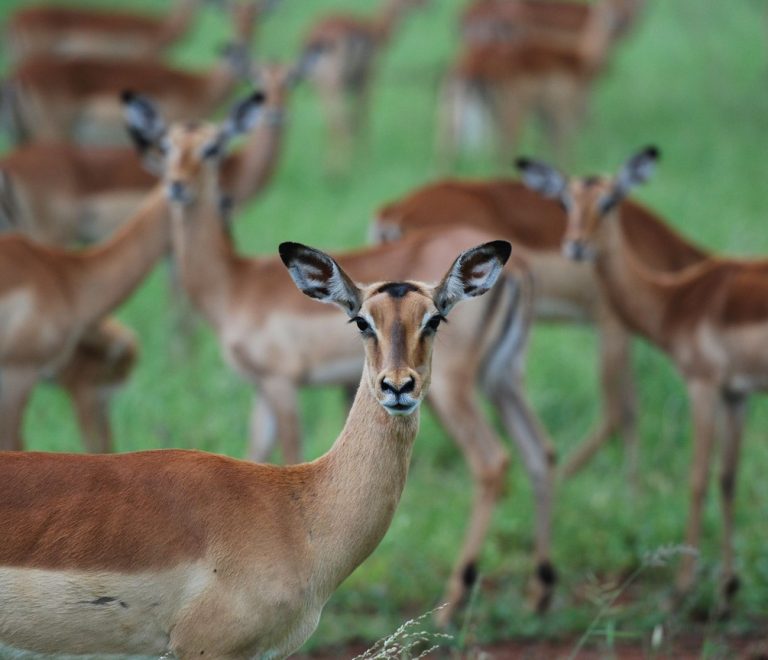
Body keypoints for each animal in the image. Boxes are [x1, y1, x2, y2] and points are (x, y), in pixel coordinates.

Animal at [124, 90, 558, 622]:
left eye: (212, 148)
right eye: (166, 147)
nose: (178, 187)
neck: (236, 283)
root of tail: (519, 271)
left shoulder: (282, 384)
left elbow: (289, 455)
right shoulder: (261, 392)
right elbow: (255, 453)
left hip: (455, 390)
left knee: (492, 461)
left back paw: (454, 601)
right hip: (503, 379)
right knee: (540, 452)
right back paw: (540, 591)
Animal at [301, 0, 425, 171]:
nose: (427, 5)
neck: (376, 29)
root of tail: (317, 38)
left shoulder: (352, 87)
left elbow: (354, 118)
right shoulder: (367, 80)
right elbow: (362, 116)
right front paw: (367, 161)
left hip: (321, 86)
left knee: (333, 123)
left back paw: (330, 168)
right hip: (334, 84)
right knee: (341, 123)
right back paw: (344, 168)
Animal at [438, 0, 622, 165]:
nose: (618, 20)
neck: (579, 60)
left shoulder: (547, 113)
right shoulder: (562, 110)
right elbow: (565, 146)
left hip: (455, 111)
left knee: (449, 149)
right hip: (511, 113)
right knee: (502, 150)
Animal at [517, 146, 764, 612]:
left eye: (610, 201)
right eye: (565, 202)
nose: (576, 245)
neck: (677, 300)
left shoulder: (702, 386)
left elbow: (697, 479)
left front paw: (682, 589)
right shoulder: (734, 395)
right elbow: (727, 480)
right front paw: (727, 591)